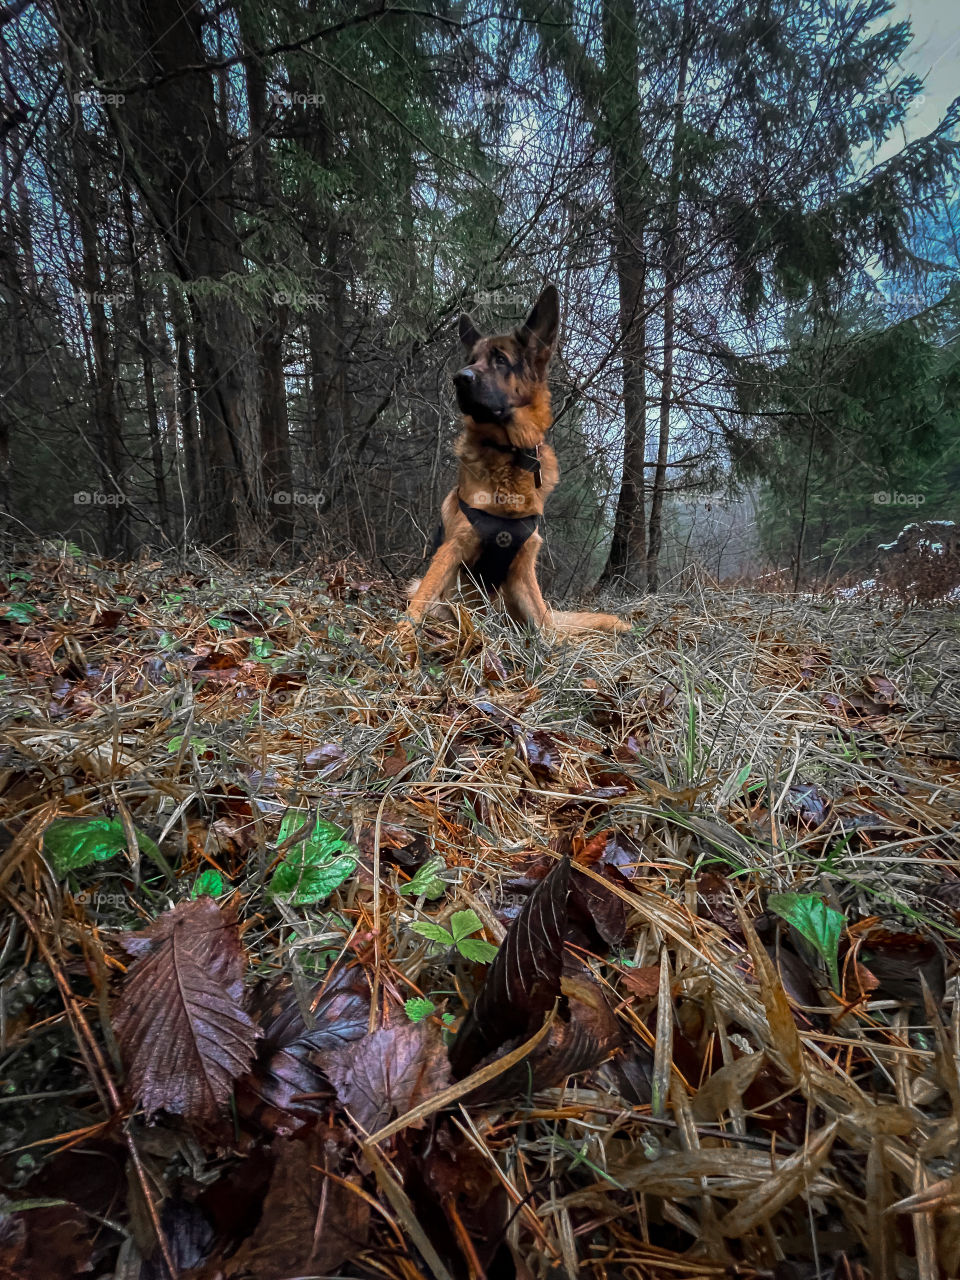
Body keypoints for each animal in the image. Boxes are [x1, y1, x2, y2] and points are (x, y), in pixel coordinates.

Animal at [399, 285, 632, 655]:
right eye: (471, 360)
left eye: (500, 360)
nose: (459, 378)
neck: (508, 456)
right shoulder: (451, 549)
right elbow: (419, 603)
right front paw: (398, 636)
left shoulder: (524, 566)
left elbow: (546, 629)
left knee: (550, 623)